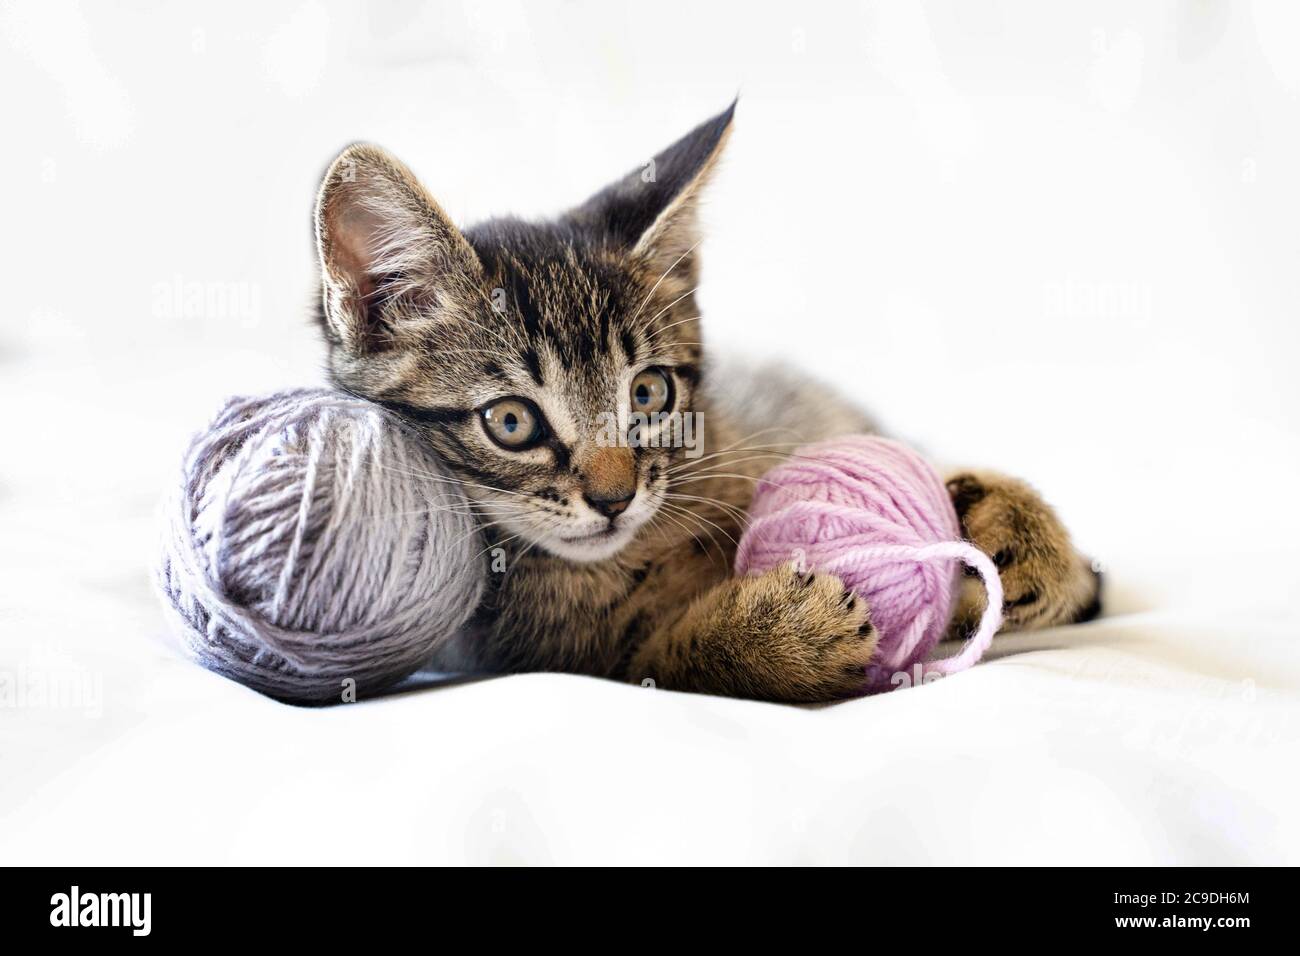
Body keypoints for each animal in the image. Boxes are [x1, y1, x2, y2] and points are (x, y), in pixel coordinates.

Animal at [312, 102, 1097, 702]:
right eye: (511, 422)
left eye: (648, 392)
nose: (614, 498)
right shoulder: (583, 658)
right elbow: (668, 653)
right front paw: (777, 634)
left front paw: (1013, 530)